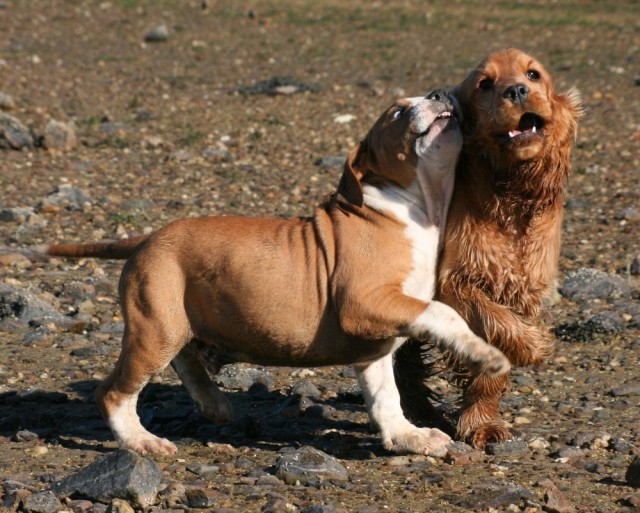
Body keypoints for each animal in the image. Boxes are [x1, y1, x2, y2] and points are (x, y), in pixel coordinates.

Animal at [41, 93, 510, 456]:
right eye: (396, 112)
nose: (439, 93)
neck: (414, 209)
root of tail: (148, 238)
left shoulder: (373, 342)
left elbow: (385, 398)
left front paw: (408, 437)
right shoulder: (364, 304)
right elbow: (443, 313)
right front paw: (484, 354)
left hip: (172, 319)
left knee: (185, 356)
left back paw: (213, 403)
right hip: (155, 324)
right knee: (113, 391)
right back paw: (140, 441)